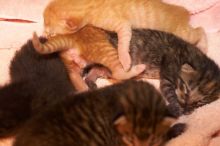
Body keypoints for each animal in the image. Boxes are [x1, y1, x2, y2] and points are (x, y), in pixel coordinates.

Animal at [43, 0, 207, 71]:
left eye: (49, 29)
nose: (43, 35)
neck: (89, 4)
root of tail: (183, 11)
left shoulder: (123, 25)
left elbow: (123, 43)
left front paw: (124, 59)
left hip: (182, 33)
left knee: (200, 30)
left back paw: (204, 47)